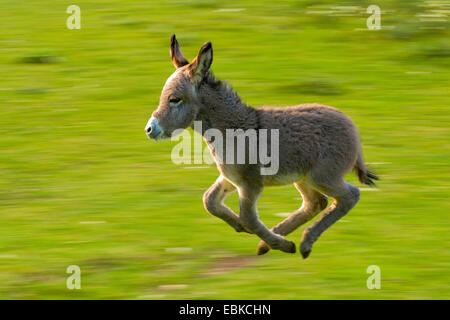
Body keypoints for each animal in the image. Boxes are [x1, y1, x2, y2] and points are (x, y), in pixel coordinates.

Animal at [144, 35, 376, 258]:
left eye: (175, 99)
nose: (149, 129)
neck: (231, 128)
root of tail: (353, 129)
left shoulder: (250, 183)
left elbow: (248, 218)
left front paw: (276, 242)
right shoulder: (230, 178)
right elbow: (209, 201)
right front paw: (243, 228)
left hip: (323, 176)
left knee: (349, 196)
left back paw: (302, 244)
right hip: (303, 178)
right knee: (316, 202)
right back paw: (272, 241)